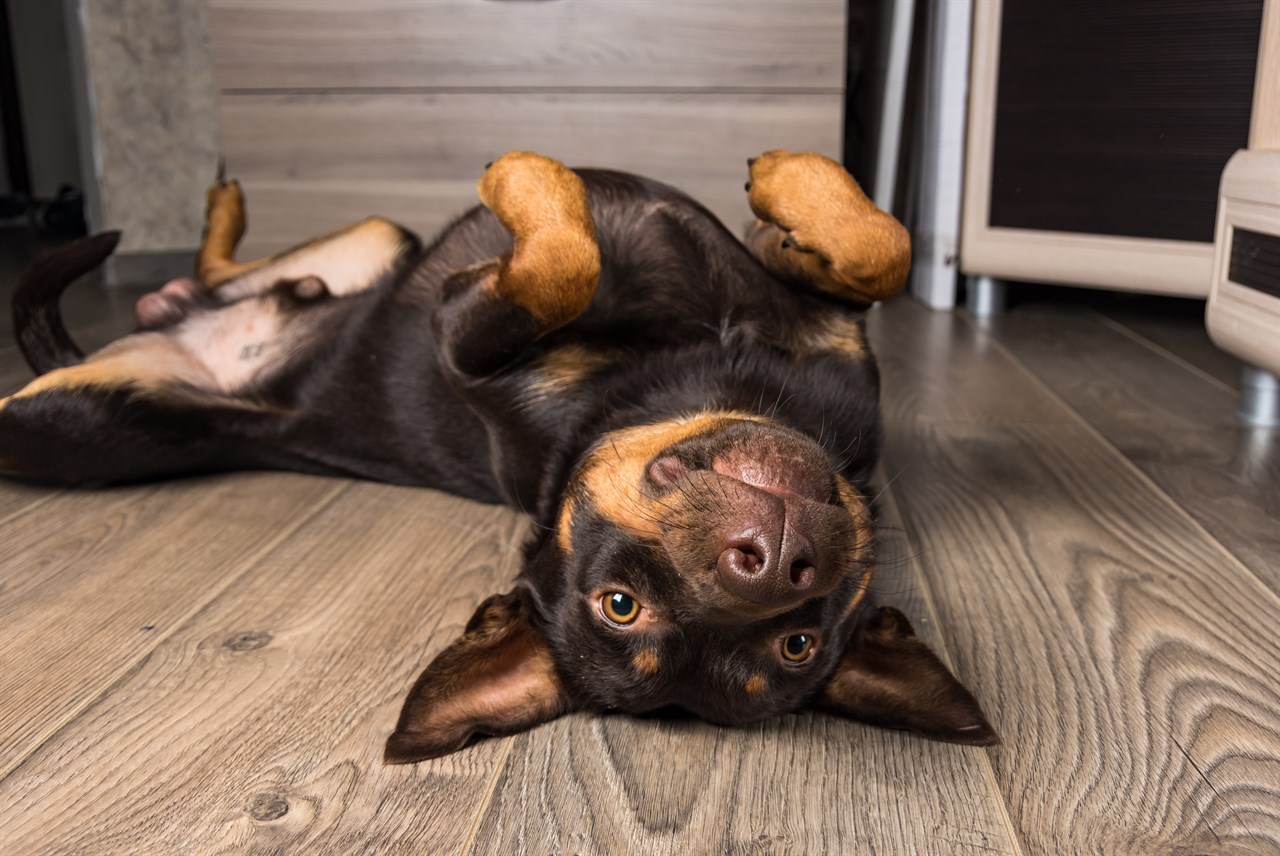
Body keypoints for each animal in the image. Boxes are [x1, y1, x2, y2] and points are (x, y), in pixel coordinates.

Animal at [2, 150, 998, 757]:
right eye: (621, 605)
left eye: (797, 645)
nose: (775, 560)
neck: (712, 382)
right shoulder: (461, 326)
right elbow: (569, 262)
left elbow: (874, 252)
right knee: (227, 278)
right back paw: (207, 226)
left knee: (231, 282)